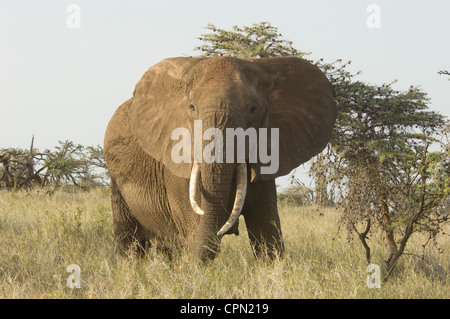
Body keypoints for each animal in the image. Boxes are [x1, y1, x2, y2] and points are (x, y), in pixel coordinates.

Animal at [103, 57, 336, 262]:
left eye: (253, 109)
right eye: (192, 108)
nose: (228, 230)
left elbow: (266, 231)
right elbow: (197, 227)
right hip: (116, 180)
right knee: (130, 242)